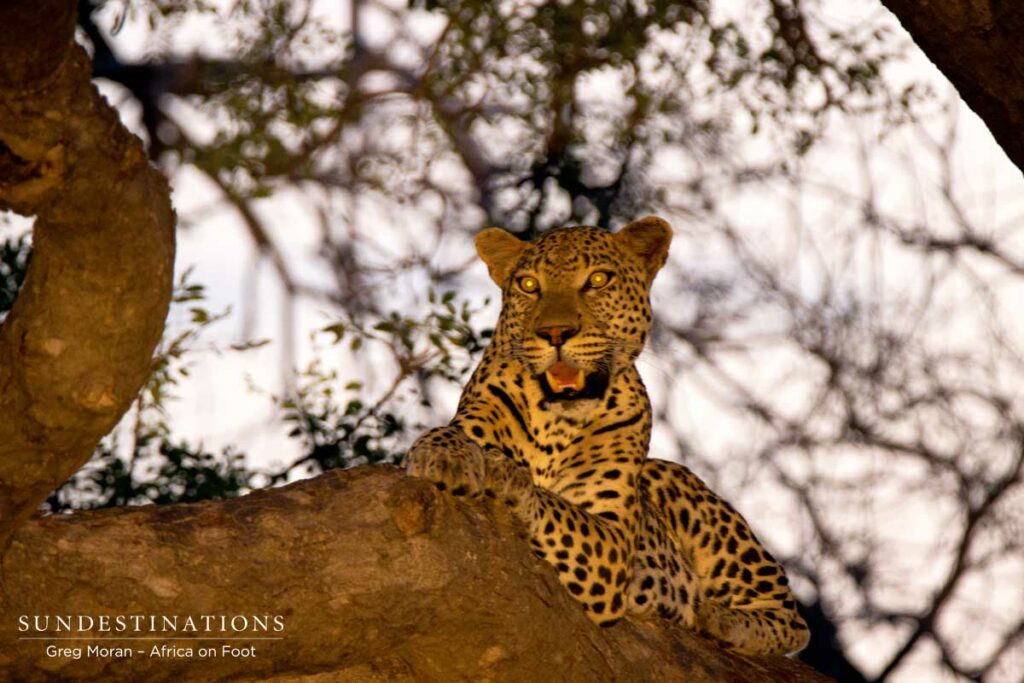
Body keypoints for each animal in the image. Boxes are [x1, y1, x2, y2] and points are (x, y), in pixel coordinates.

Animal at [404, 216, 810, 655]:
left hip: (679, 484)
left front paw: (508, 476)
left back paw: (718, 619)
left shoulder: (613, 539)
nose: (556, 332)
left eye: (598, 280)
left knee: (791, 619)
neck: (556, 421)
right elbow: (446, 434)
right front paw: (446, 458)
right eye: (529, 285)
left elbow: (557, 506)